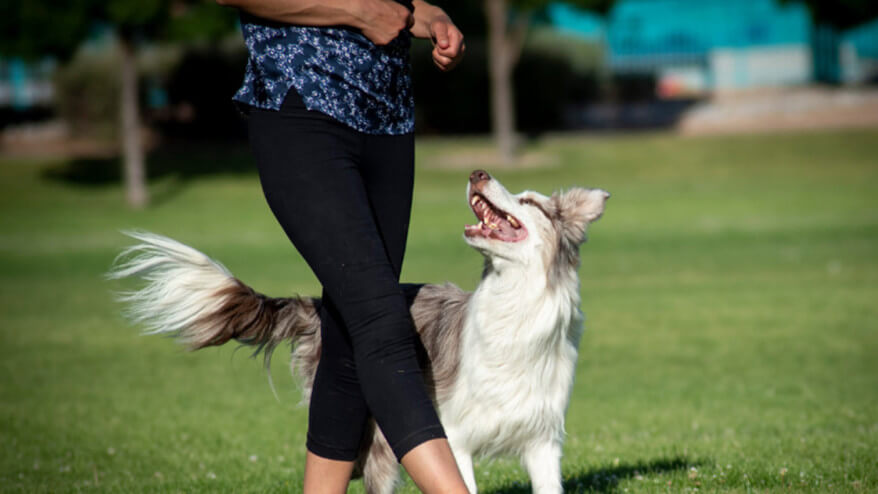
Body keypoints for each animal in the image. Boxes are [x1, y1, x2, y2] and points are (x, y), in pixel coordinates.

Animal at [110, 171, 612, 494]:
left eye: (530, 203)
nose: (477, 172)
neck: (515, 306)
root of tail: (325, 306)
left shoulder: (543, 441)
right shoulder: (454, 436)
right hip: (374, 437)